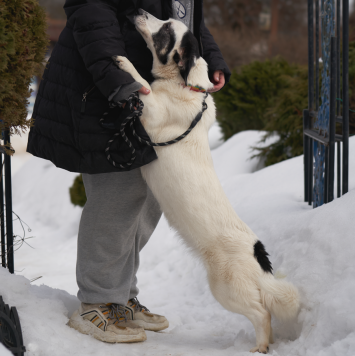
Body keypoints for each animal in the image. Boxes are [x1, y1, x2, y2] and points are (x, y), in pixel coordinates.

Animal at [114, 9, 300, 354]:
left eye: (164, 30)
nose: (138, 11)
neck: (186, 85)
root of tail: (257, 257)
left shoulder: (152, 113)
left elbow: (142, 84)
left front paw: (124, 62)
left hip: (225, 288)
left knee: (262, 312)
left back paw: (260, 346)